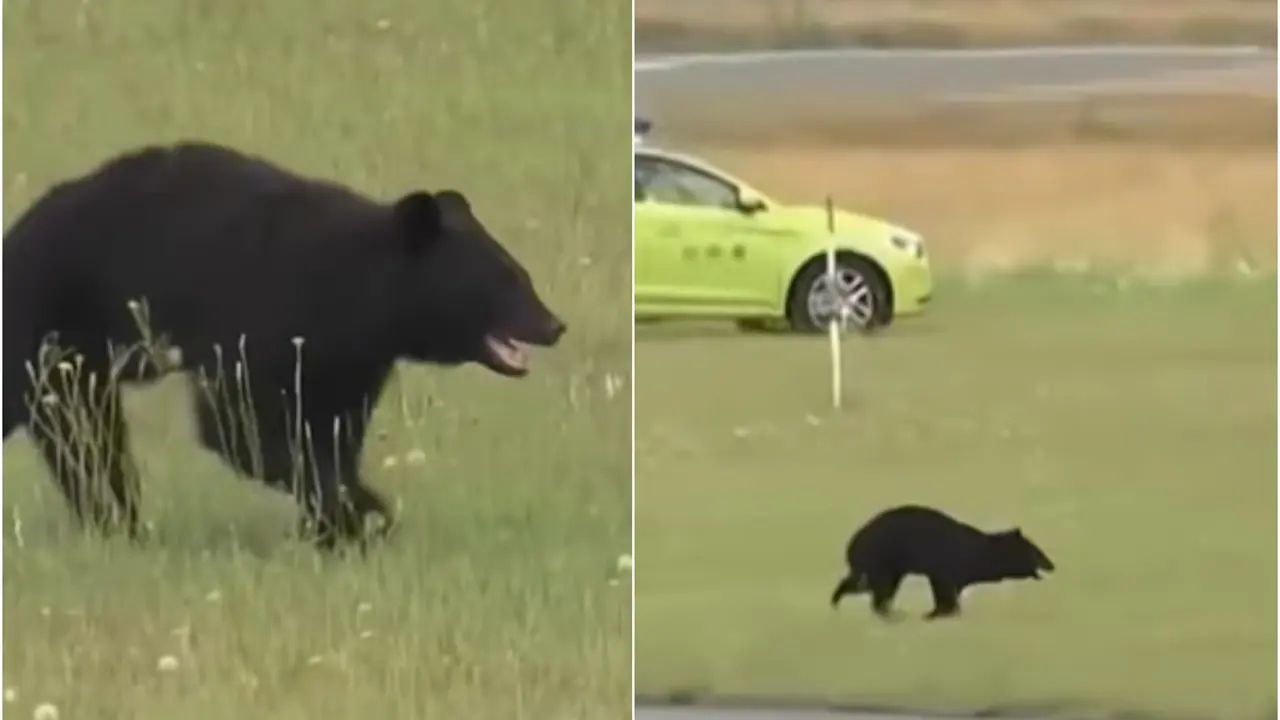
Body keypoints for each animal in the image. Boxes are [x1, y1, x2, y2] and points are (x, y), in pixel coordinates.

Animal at [2, 140, 566, 550]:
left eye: (522, 275)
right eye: (504, 280)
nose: (554, 324)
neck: (361, 294)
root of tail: (18, 234)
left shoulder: (348, 361)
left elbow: (333, 430)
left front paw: (336, 524)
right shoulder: (262, 321)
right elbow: (243, 427)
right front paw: (361, 511)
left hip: (77, 365)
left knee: (88, 440)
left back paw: (115, 522)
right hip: (42, 330)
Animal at [829, 504, 1055, 620]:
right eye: (1037, 551)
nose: (1052, 564)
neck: (983, 553)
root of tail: (852, 543)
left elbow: (951, 591)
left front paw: (944, 611)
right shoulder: (945, 564)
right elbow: (944, 587)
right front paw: (936, 613)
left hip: (884, 564)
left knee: (867, 585)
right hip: (883, 557)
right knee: (879, 588)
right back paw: (890, 613)